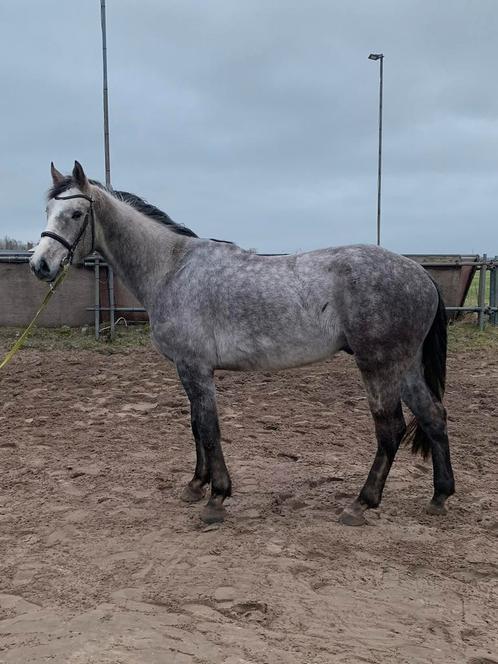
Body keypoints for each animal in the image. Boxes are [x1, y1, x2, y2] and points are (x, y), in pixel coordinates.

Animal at [31, 161, 456, 524]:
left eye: (76, 214)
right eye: (48, 209)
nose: (40, 265)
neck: (172, 269)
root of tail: (420, 274)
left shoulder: (196, 368)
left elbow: (209, 427)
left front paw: (217, 498)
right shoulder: (189, 369)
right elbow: (196, 426)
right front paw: (196, 485)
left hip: (377, 365)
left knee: (391, 430)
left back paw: (360, 504)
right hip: (405, 367)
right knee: (433, 415)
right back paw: (440, 496)